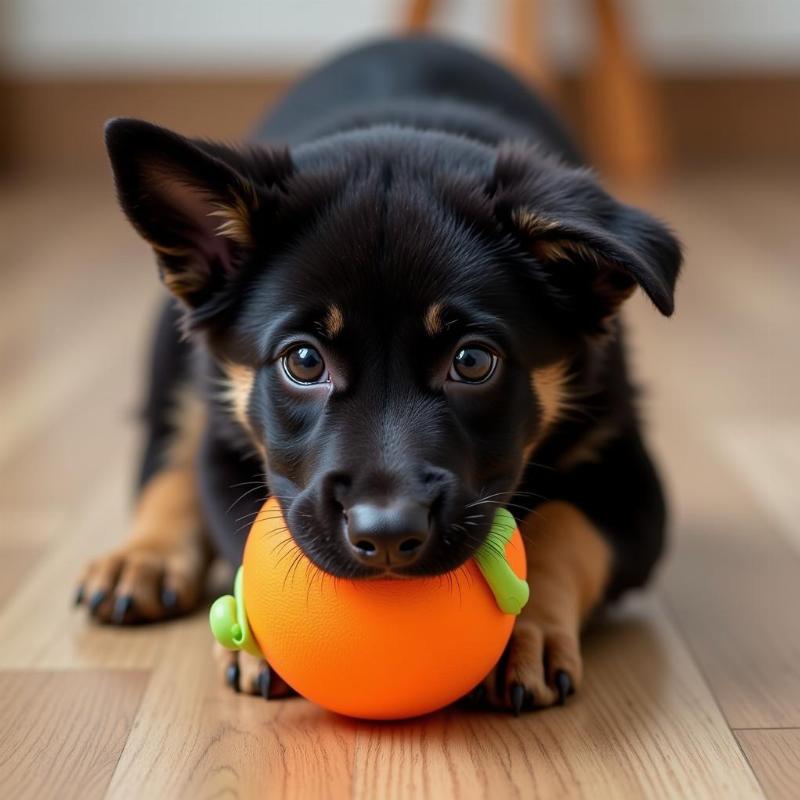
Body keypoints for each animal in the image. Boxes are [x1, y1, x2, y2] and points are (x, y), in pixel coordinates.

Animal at [78, 36, 680, 712]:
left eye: (472, 361)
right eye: (304, 362)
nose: (388, 535)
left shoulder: (630, 475)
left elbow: (564, 526)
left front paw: (524, 633)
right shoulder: (227, 446)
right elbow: (233, 517)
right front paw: (258, 641)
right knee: (166, 455)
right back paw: (141, 558)